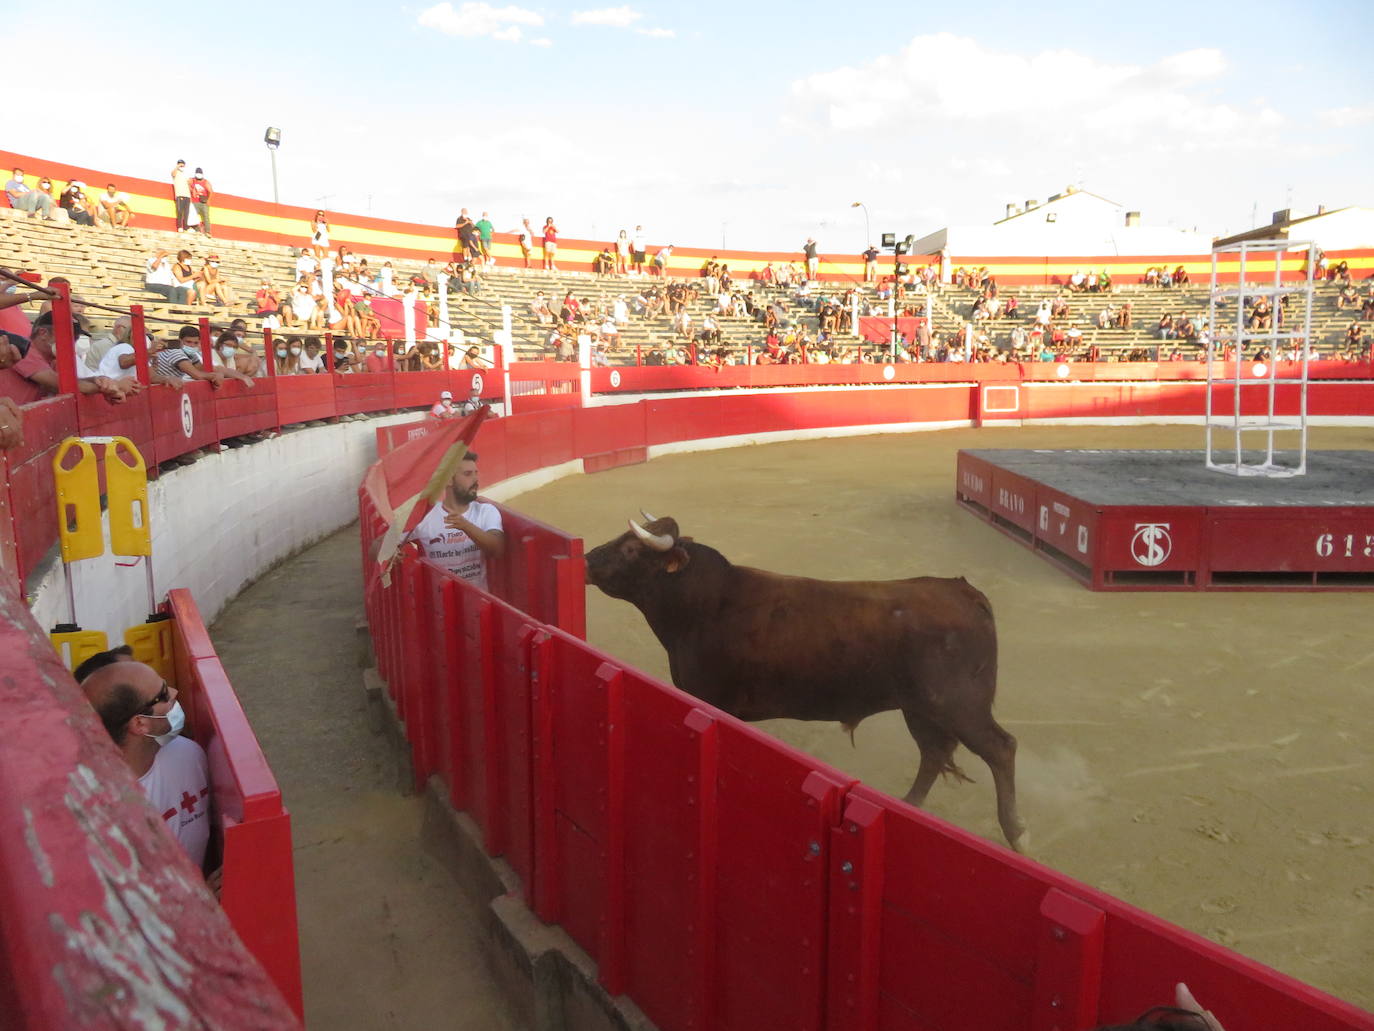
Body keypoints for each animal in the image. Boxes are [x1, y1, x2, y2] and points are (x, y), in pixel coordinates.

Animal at [585, 514, 1027, 852]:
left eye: (630, 549)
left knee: (1000, 748)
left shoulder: (714, 700)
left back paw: (1016, 834)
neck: (702, 604)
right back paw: (909, 805)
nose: (586, 559)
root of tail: (965, 591)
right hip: (920, 709)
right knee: (934, 753)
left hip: (958, 705)